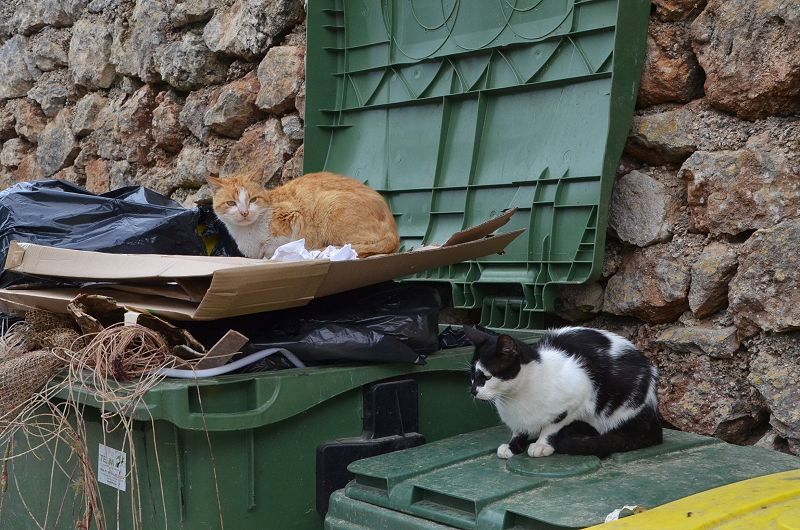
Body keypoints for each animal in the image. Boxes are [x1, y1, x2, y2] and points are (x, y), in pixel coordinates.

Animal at [208, 171, 400, 258]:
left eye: (253, 200)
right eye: (231, 203)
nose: (244, 212)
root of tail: (395, 234)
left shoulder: (292, 216)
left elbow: (274, 247)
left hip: (328, 202)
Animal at [462, 324, 664, 456]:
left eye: (486, 377)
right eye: (471, 375)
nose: (473, 391)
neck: (516, 397)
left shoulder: (578, 395)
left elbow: (551, 426)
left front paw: (542, 444)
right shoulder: (519, 419)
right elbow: (519, 430)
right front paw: (513, 446)